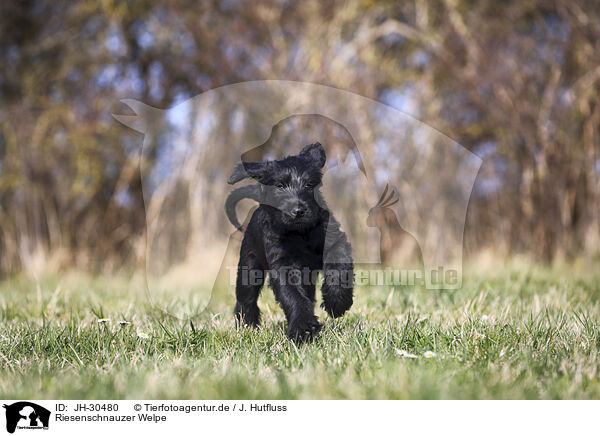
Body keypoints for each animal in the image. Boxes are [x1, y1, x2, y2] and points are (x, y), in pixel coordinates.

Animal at [227, 143, 354, 340]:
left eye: (309, 185)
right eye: (280, 186)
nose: (298, 211)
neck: (300, 233)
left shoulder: (334, 241)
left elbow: (340, 266)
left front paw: (337, 302)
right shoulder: (283, 264)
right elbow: (292, 295)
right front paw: (303, 328)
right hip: (249, 266)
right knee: (246, 297)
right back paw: (247, 326)